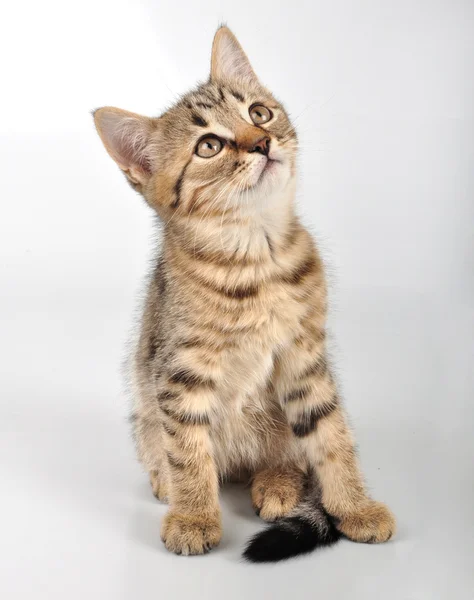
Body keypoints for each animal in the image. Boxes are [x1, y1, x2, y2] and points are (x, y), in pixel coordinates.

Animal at [93, 25, 396, 560]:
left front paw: (356, 506)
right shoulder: (179, 372)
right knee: (163, 444)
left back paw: (278, 482)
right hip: (144, 405)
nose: (263, 142)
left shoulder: (305, 358)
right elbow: (188, 450)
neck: (258, 259)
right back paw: (167, 481)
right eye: (209, 146)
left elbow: (331, 434)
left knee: (288, 450)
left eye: (259, 113)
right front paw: (194, 516)